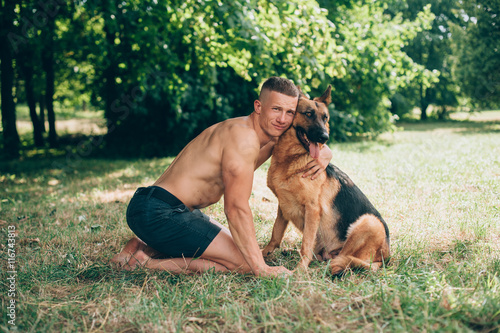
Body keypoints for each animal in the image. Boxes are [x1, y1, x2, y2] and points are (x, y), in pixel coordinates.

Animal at [262, 85, 390, 274]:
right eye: (308, 114)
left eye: (325, 118)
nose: (325, 137)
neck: (291, 160)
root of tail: (385, 258)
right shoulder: (283, 206)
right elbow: (276, 233)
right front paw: (264, 252)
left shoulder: (312, 209)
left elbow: (306, 244)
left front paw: (300, 269)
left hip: (369, 222)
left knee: (341, 260)